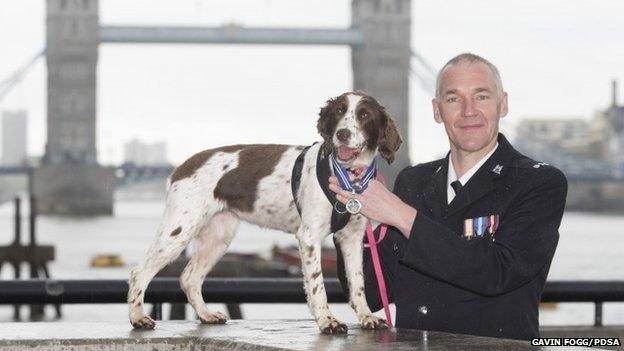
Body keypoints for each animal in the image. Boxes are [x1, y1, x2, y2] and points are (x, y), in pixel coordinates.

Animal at [129, 92, 402, 334]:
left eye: (365, 115)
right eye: (338, 112)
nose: (342, 134)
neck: (348, 178)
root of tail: (181, 167)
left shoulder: (352, 237)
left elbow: (358, 283)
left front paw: (366, 317)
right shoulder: (309, 236)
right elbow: (317, 284)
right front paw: (327, 321)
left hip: (218, 236)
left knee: (189, 277)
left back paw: (206, 315)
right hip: (179, 230)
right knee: (139, 272)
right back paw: (137, 318)